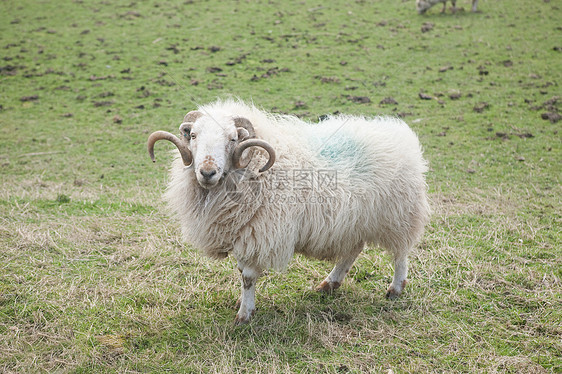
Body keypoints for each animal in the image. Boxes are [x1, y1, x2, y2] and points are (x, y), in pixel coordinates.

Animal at [145, 100, 428, 324]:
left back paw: (395, 289)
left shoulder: (258, 233)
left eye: (233, 138)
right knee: (352, 250)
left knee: (400, 253)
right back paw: (329, 284)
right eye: (193, 135)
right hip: (354, 221)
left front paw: (244, 315)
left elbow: (247, 277)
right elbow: (242, 273)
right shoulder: (243, 232)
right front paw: (243, 305)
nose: (207, 172)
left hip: (398, 213)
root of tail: (399, 130)